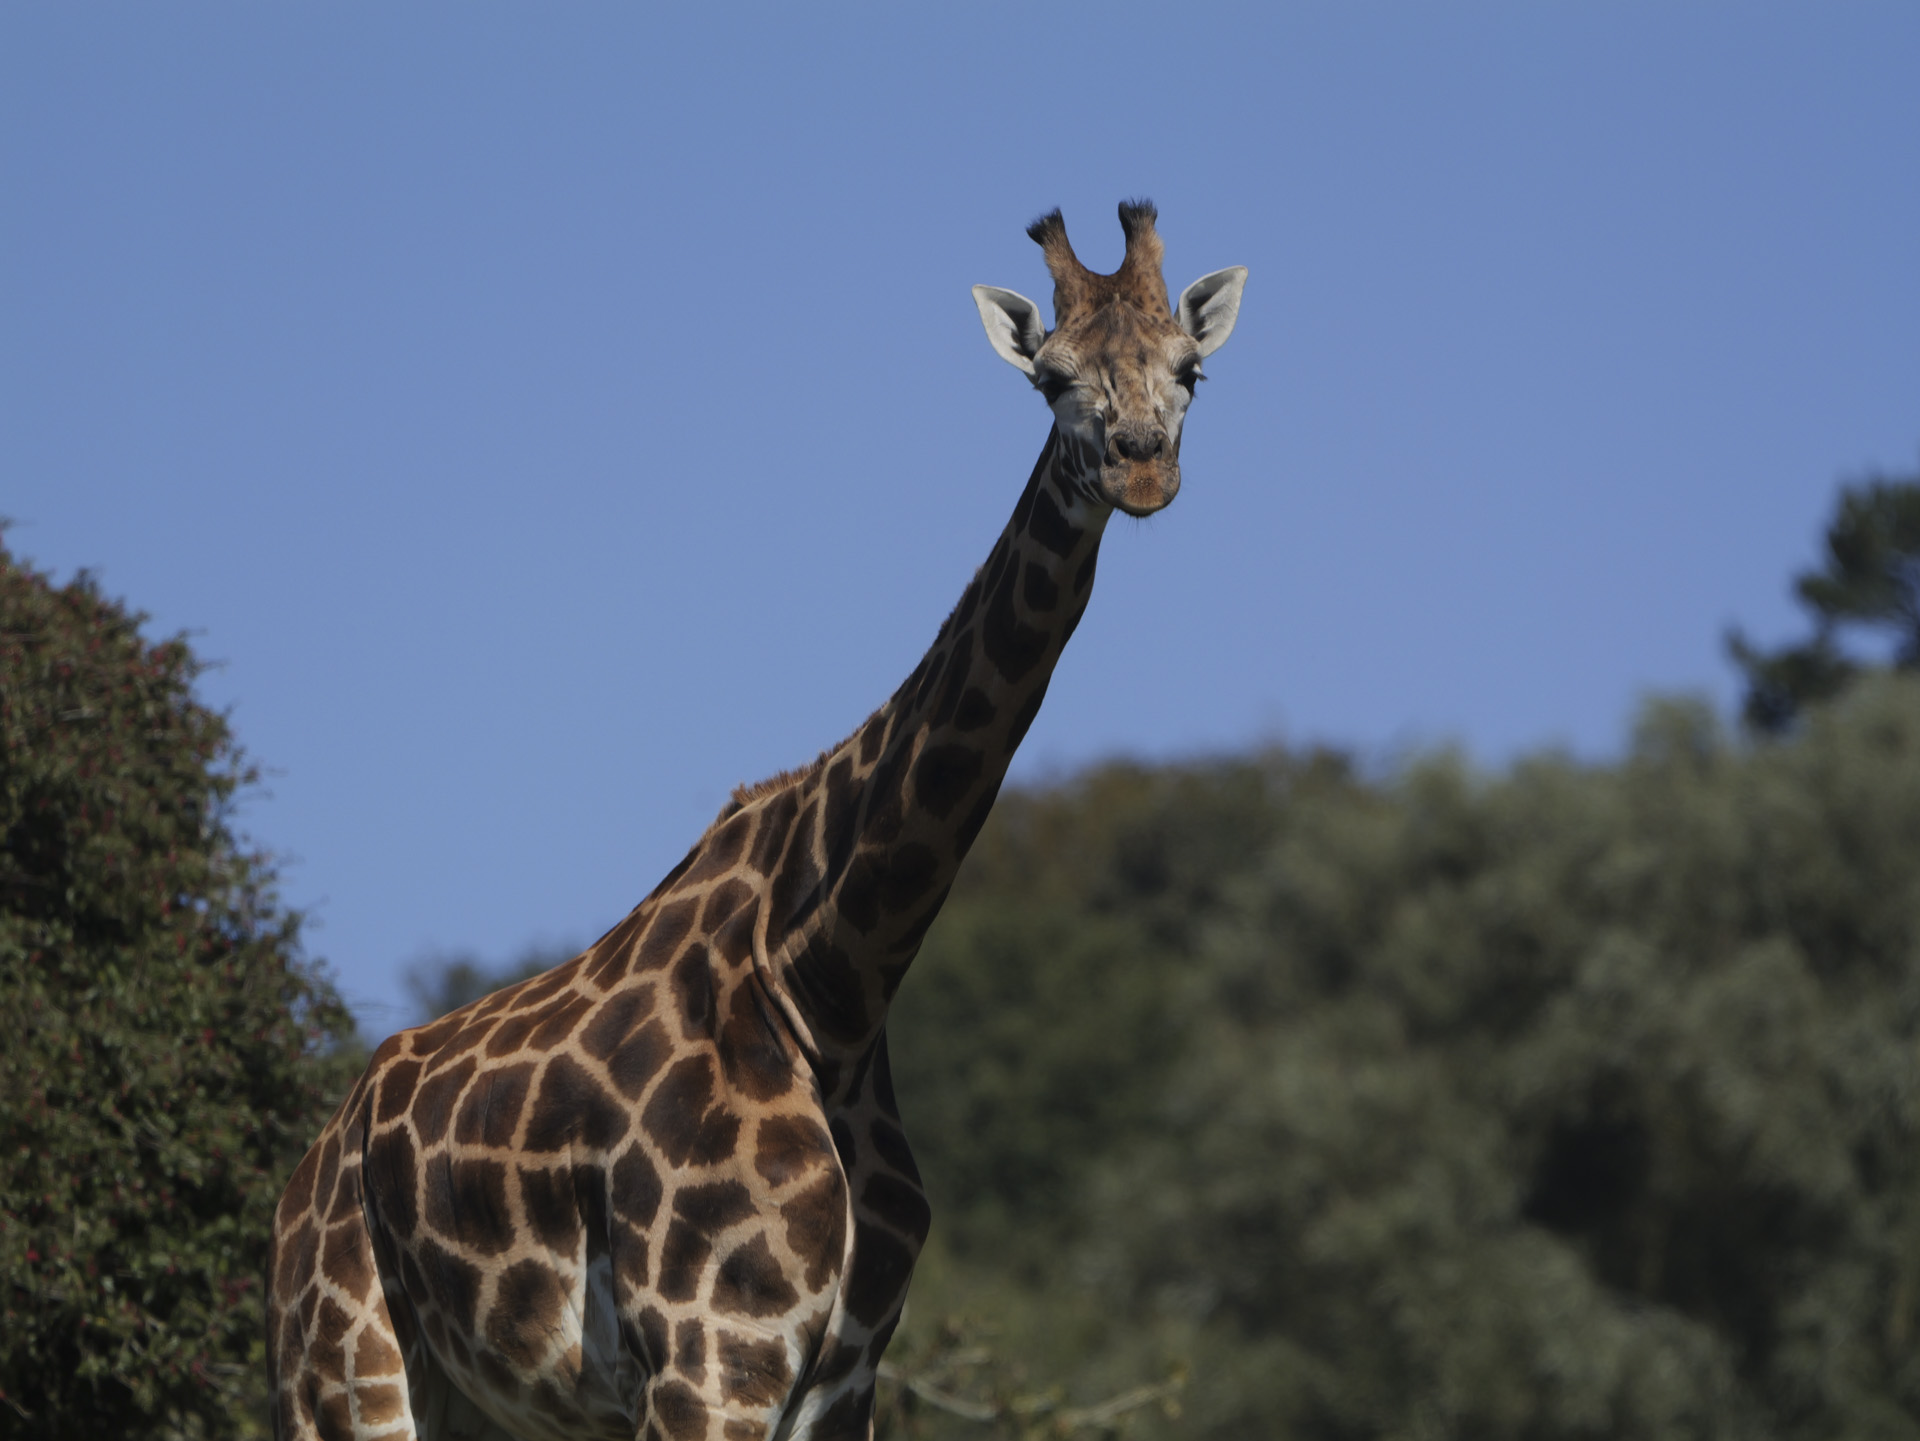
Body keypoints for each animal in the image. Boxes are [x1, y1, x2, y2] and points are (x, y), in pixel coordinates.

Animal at [270, 200, 1244, 1441]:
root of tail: (304, 1174)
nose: (1142, 465)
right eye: (1053, 378)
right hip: (342, 1371)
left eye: (1190, 369)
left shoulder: (841, 1378)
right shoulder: (706, 1359)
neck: (833, 980)